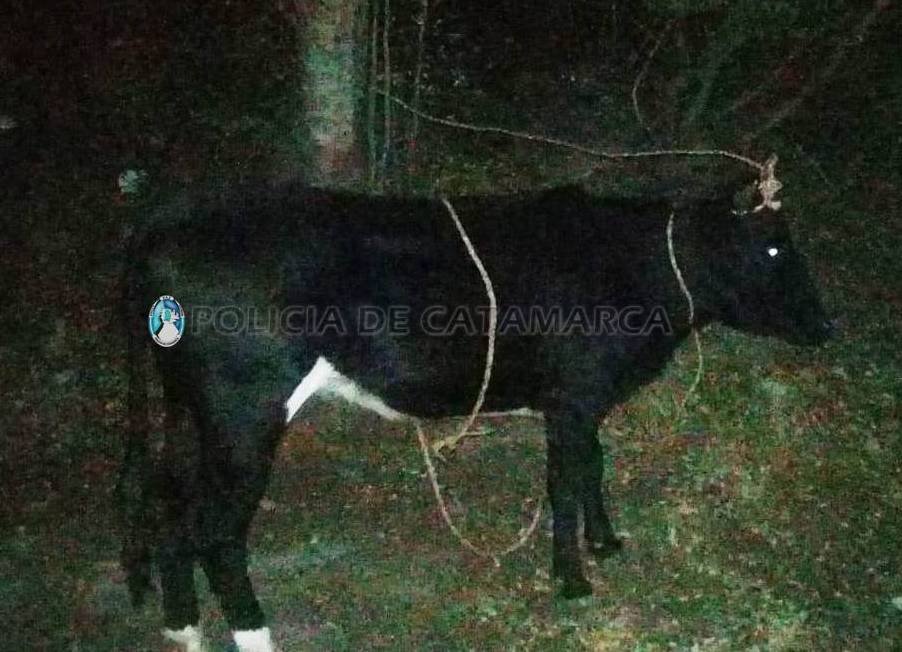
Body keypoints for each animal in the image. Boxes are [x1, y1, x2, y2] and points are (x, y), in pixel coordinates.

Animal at [120, 180, 832, 652]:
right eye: (773, 249)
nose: (829, 326)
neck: (636, 272)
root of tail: (166, 231)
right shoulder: (573, 395)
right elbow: (565, 480)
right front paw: (573, 579)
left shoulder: (580, 399)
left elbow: (592, 465)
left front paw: (606, 542)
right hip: (246, 414)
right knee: (216, 531)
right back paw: (254, 633)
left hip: (191, 413)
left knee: (169, 512)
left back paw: (184, 628)